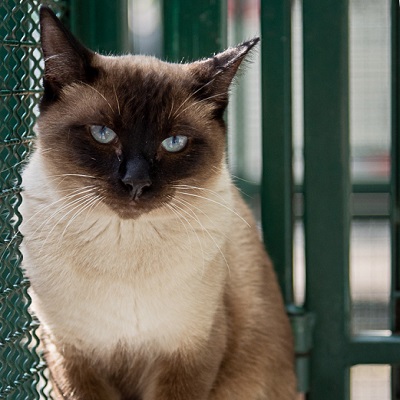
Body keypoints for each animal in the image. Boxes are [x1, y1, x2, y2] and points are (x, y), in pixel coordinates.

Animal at [20, 6, 296, 400]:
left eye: (174, 142)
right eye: (103, 134)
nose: (136, 182)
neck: (123, 249)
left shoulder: (188, 356)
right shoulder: (70, 356)